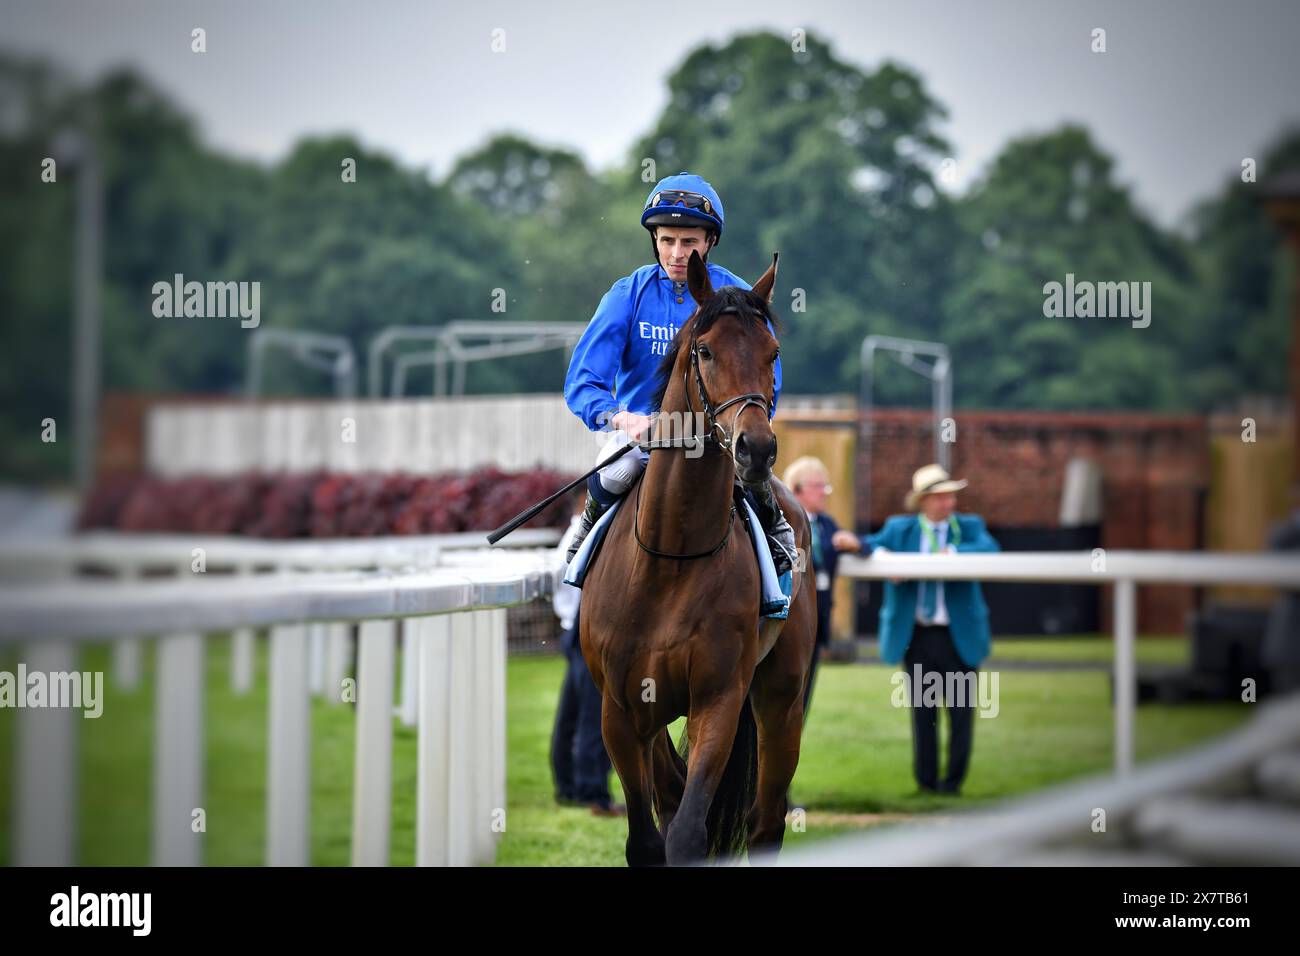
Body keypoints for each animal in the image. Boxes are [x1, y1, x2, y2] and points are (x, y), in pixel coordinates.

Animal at [577, 247, 811, 868]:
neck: (670, 559)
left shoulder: (719, 698)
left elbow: (687, 832)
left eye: (772, 353)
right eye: (705, 351)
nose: (757, 449)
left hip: (781, 697)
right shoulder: (621, 710)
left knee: (766, 821)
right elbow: (647, 835)